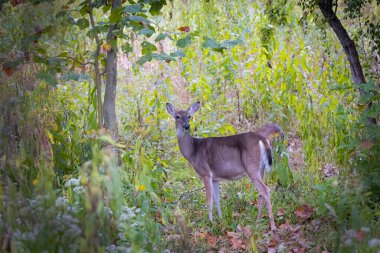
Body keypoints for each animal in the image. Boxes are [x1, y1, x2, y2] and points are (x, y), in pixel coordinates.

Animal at [165, 102, 284, 230]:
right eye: (177, 116)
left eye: (189, 116)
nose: (186, 126)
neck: (193, 151)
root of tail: (263, 139)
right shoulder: (215, 178)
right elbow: (217, 199)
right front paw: (221, 220)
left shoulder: (205, 173)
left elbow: (209, 200)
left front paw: (210, 223)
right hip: (260, 169)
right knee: (262, 193)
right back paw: (257, 222)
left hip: (251, 168)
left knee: (266, 190)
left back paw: (273, 227)